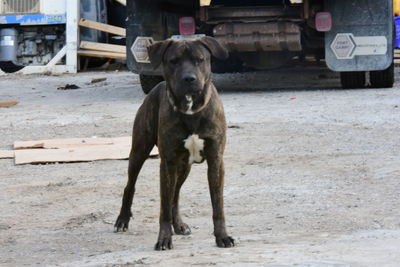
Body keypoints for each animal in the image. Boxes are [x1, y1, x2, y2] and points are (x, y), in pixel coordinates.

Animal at [114, 36, 234, 251]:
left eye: (199, 59)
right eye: (173, 61)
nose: (189, 78)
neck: (190, 108)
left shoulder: (215, 160)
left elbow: (217, 205)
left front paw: (222, 236)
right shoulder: (167, 162)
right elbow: (163, 207)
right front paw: (163, 238)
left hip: (183, 166)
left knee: (175, 194)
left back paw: (178, 225)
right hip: (139, 151)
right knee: (131, 186)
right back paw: (122, 219)